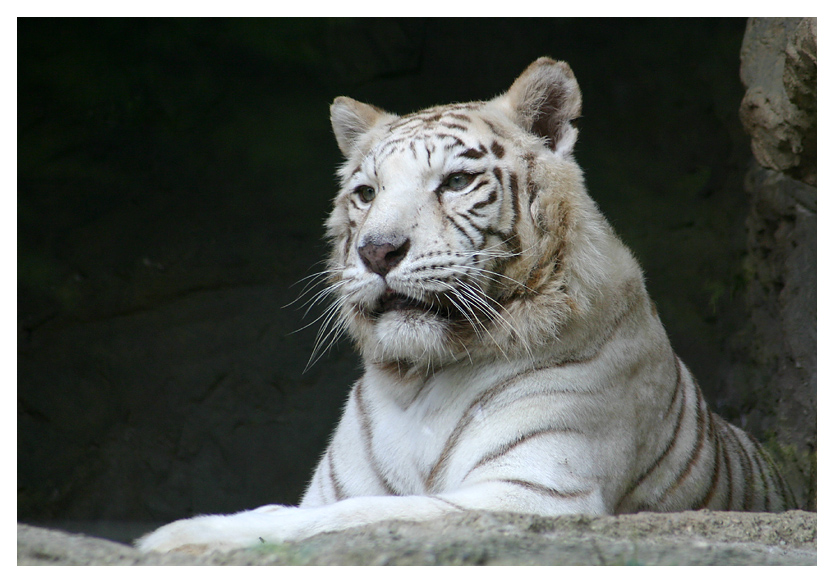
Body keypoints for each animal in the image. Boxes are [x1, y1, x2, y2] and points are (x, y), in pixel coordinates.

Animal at [137, 57, 796, 554]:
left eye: (454, 183)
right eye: (366, 193)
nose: (377, 250)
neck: (420, 380)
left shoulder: (535, 492)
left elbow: (359, 516)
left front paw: (175, 537)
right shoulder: (343, 484)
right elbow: (332, 507)